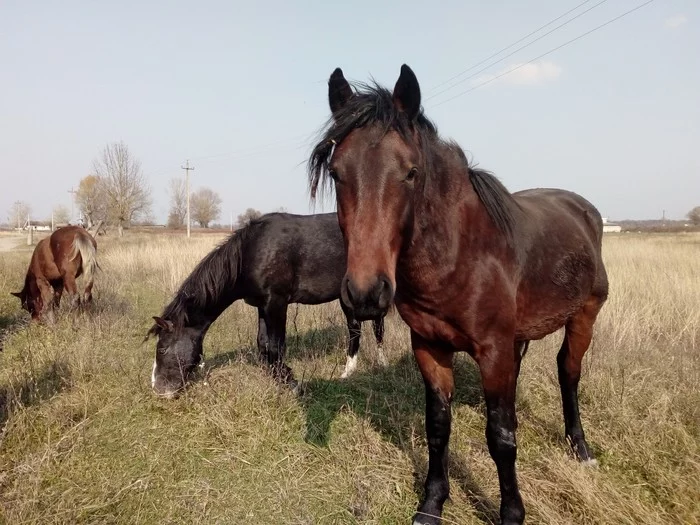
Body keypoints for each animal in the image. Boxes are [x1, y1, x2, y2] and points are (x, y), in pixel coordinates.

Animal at [149, 212, 388, 398]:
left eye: (162, 348)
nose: (159, 390)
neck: (250, 253)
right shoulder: (262, 306)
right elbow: (263, 343)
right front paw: (277, 376)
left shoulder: (277, 303)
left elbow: (276, 345)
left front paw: (291, 383)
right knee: (358, 329)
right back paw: (351, 371)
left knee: (374, 328)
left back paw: (377, 365)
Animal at [308, 66, 608, 524]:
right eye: (338, 172)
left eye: (410, 172)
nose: (365, 293)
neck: (459, 255)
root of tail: (584, 210)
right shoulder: (431, 347)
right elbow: (438, 427)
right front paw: (432, 503)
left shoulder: (494, 349)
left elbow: (501, 438)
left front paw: (511, 513)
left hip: (583, 316)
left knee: (568, 373)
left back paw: (581, 449)